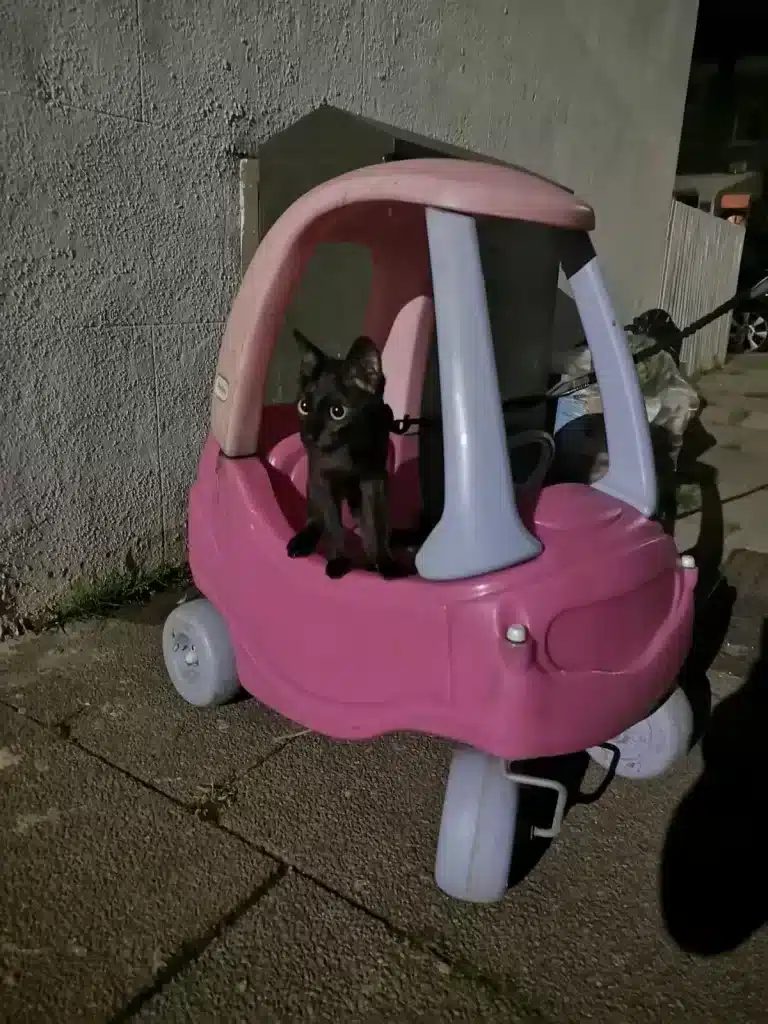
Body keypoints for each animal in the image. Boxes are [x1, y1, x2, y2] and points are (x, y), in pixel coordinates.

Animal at [286, 329, 405, 581]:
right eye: (303, 406)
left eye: (338, 412)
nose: (309, 435)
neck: (346, 451)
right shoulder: (324, 477)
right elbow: (333, 523)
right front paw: (338, 561)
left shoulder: (373, 479)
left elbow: (375, 523)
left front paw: (383, 562)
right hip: (314, 480)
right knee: (316, 515)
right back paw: (302, 541)